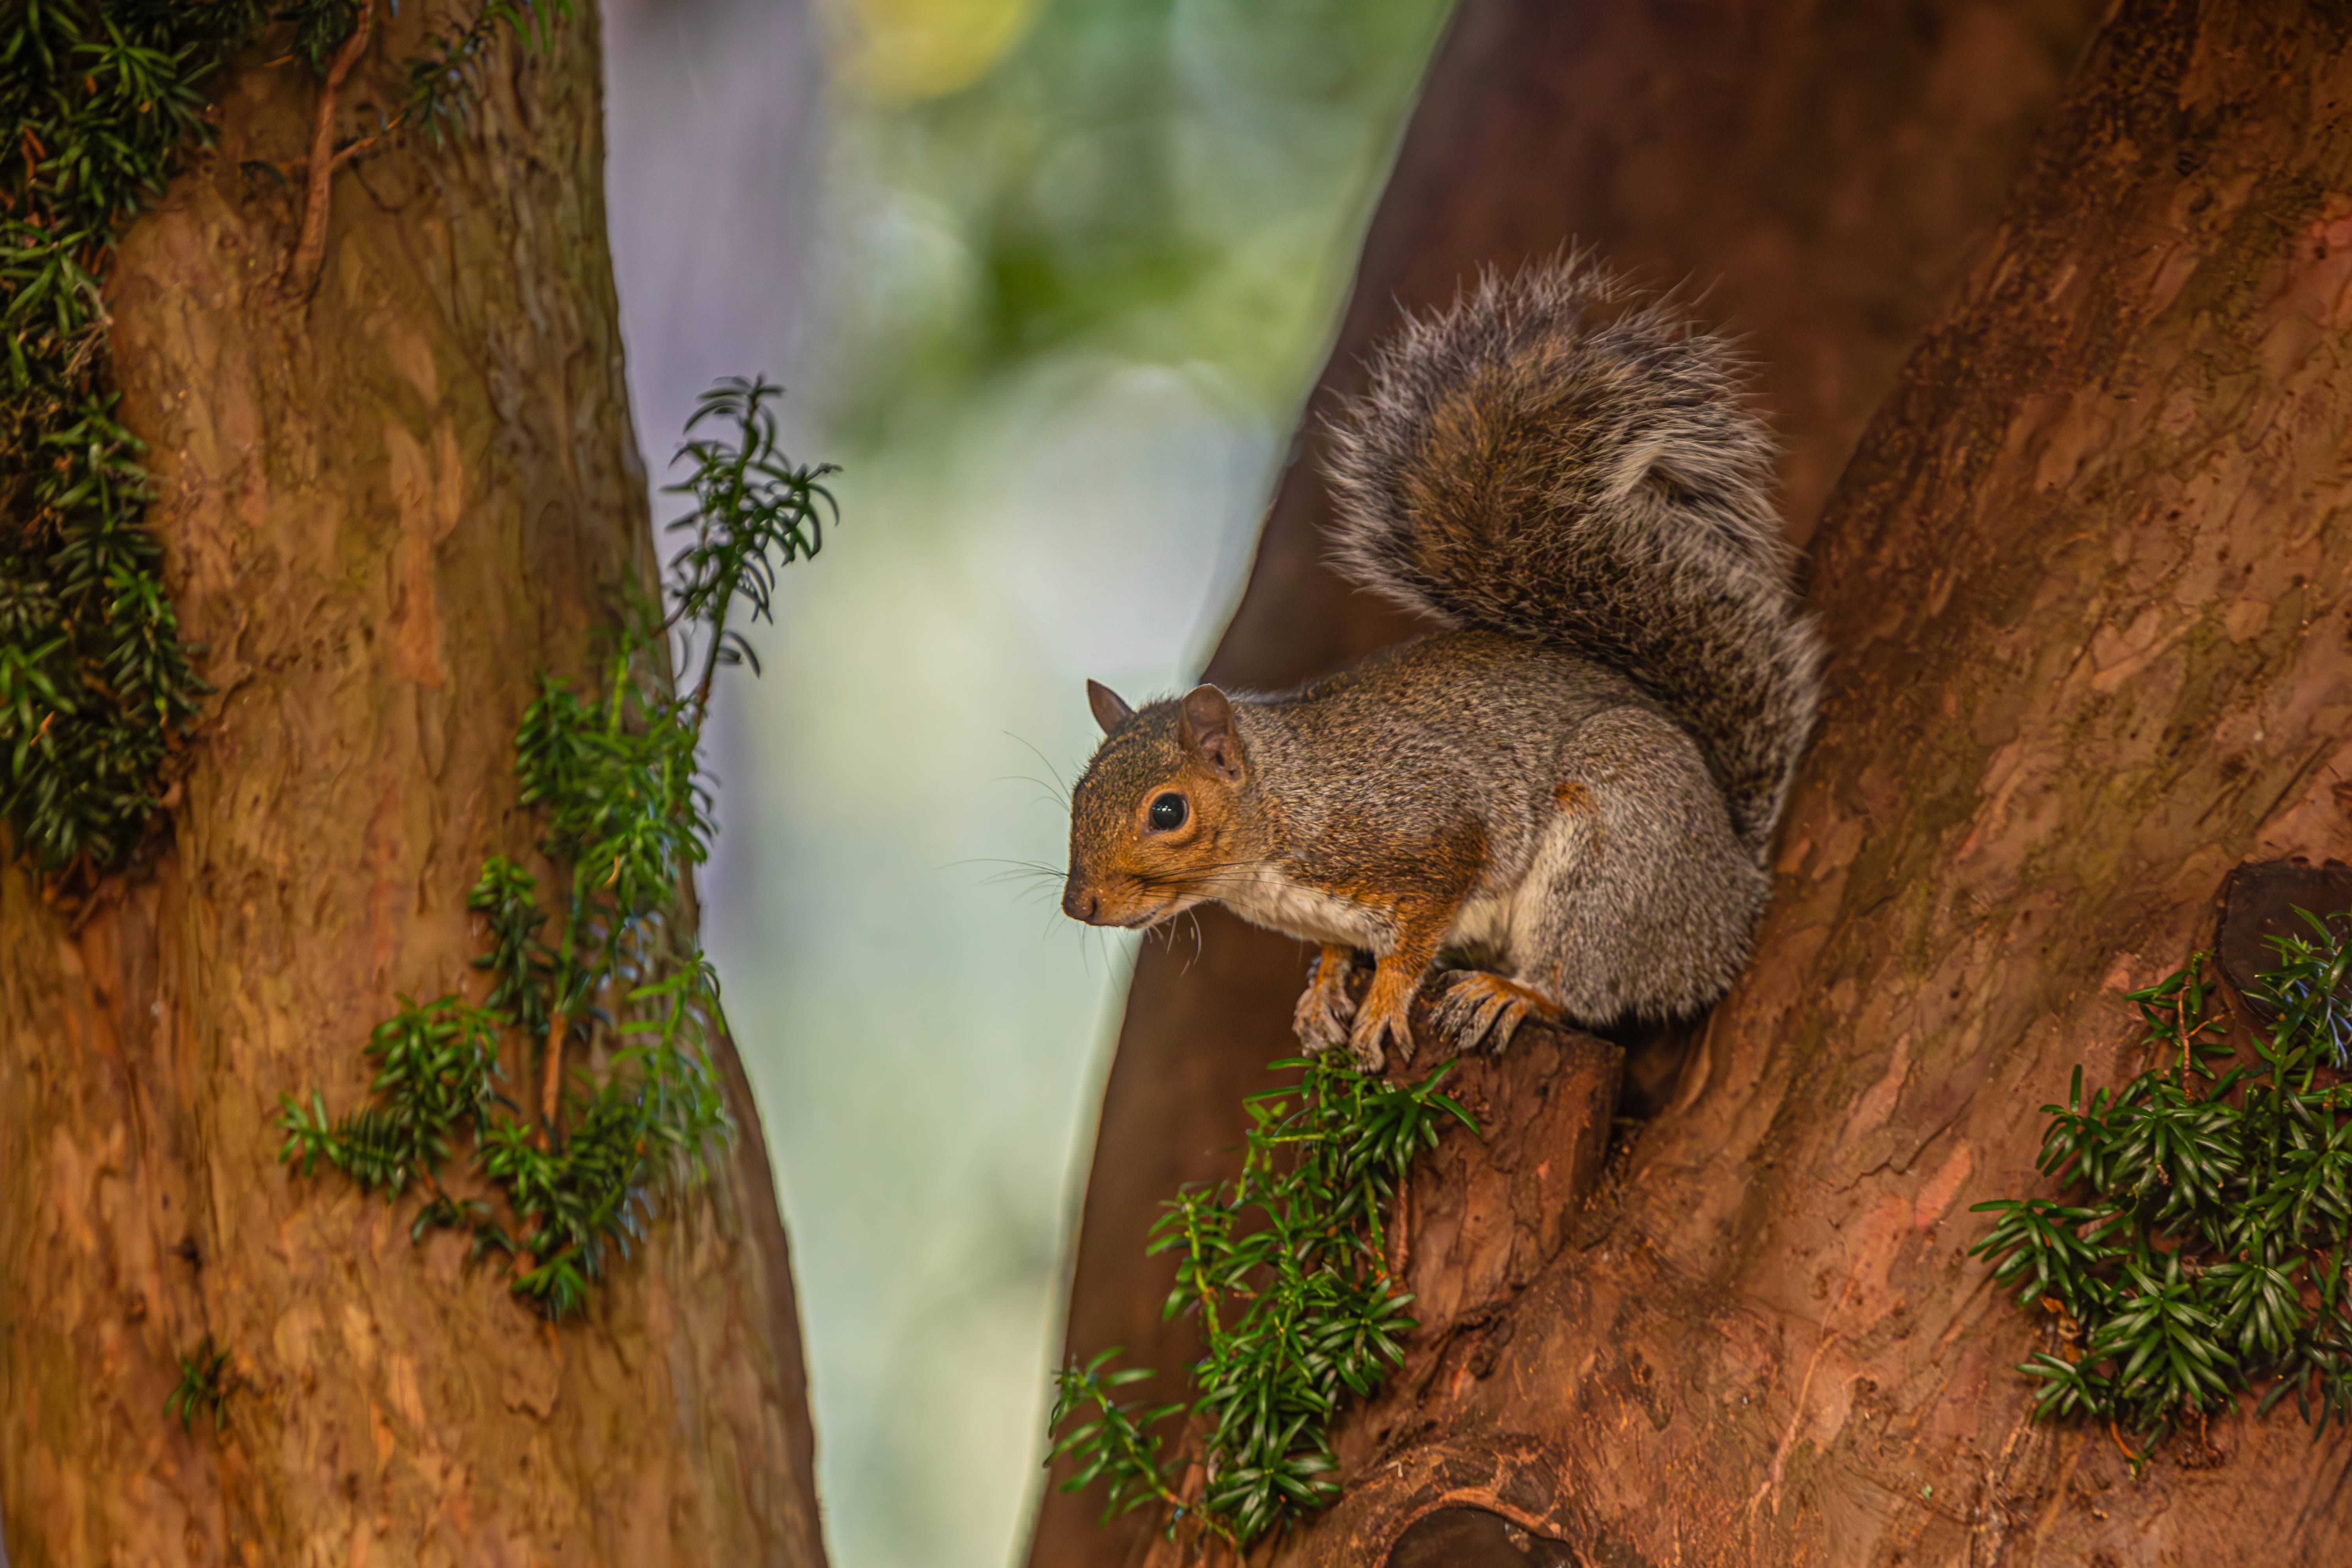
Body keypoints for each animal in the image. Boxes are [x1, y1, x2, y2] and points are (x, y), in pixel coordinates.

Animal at [1061, 256, 1823, 1071]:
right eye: (1077, 796)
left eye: (1167, 811)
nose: (1079, 904)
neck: (1285, 812)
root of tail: (1731, 889)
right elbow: (1338, 948)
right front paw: (1322, 991)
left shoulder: (1433, 832)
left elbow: (1417, 934)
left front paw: (1382, 1004)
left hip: (1614, 855)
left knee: (1579, 983)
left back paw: (1510, 993)